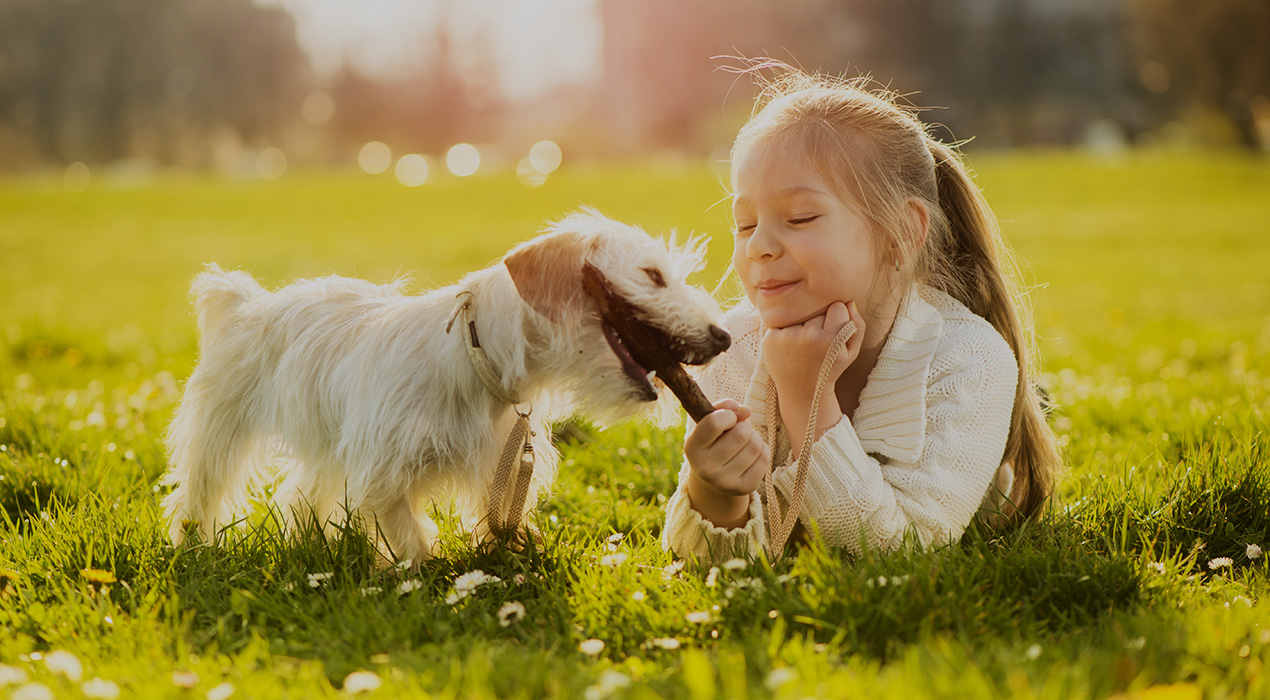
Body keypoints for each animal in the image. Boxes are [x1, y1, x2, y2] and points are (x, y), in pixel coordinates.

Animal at [163, 209, 731, 564]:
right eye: (652, 275)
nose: (723, 337)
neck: (476, 358)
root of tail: (250, 301)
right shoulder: (383, 471)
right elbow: (408, 533)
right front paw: (422, 572)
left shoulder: (498, 466)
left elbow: (495, 520)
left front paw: (511, 555)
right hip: (221, 431)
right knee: (199, 491)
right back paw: (193, 547)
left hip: (330, 445)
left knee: (298, 495)